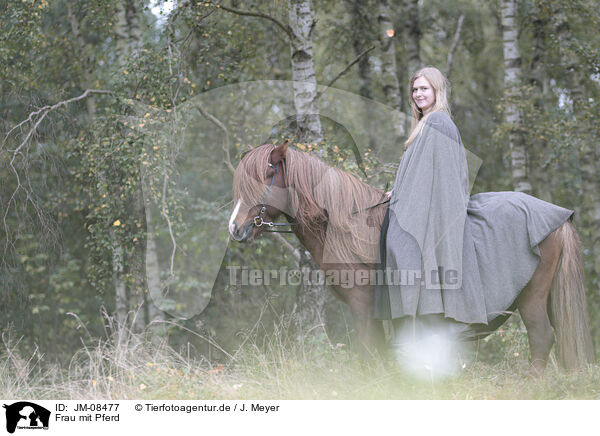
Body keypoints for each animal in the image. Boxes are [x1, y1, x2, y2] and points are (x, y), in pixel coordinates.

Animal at [227, 141, 592, 372]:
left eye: (265, 178)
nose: (235, 229)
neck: (347, 223)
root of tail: (557, 217)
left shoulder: (362, 303)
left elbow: (366, 351)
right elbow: (378, 351)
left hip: (532, 296)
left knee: (541, 337)